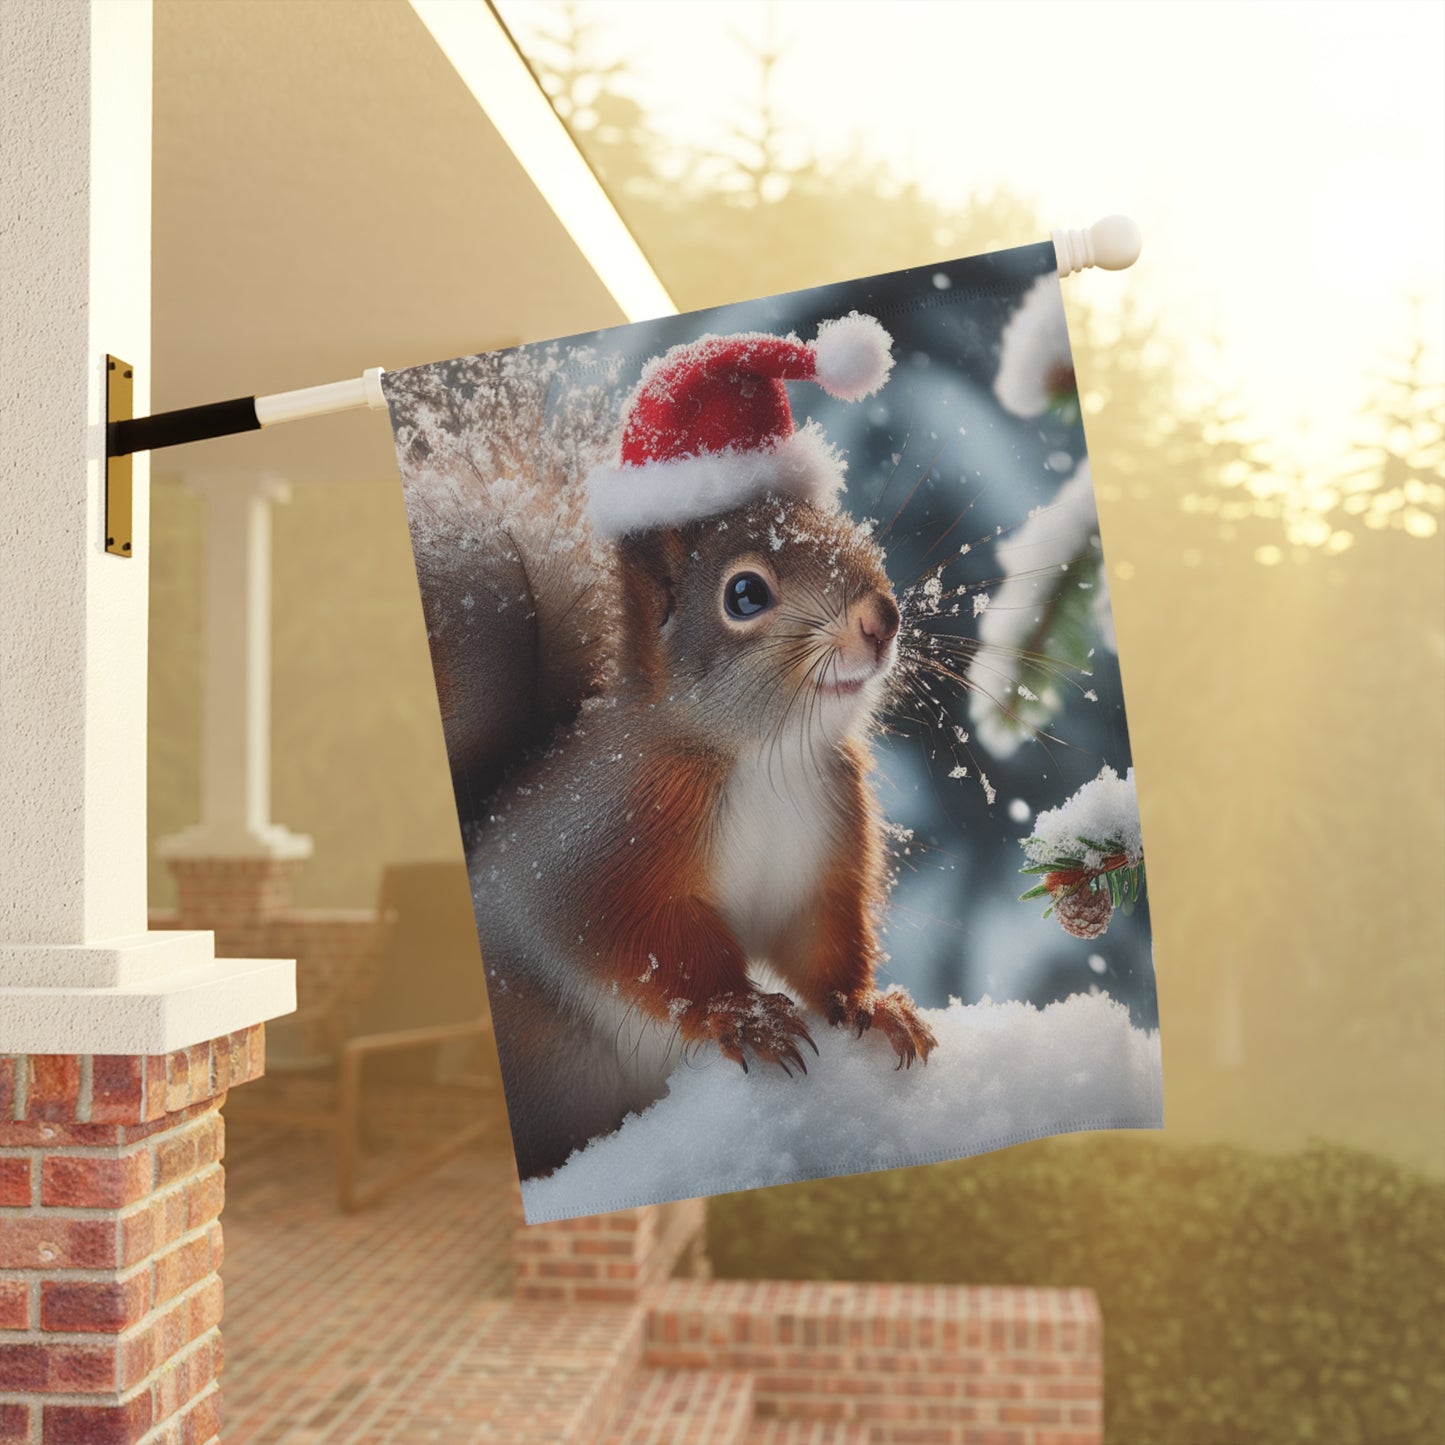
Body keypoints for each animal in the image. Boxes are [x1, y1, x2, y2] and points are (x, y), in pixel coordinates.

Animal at [401, 315, 939, 1182]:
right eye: (745, 593)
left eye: (849, 536)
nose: (881, 617)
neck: (763, 755)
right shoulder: (600, 849)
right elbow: (637, 948)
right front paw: (745, 1014)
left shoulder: (822, 844)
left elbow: (819, 940)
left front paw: (870, 1004)